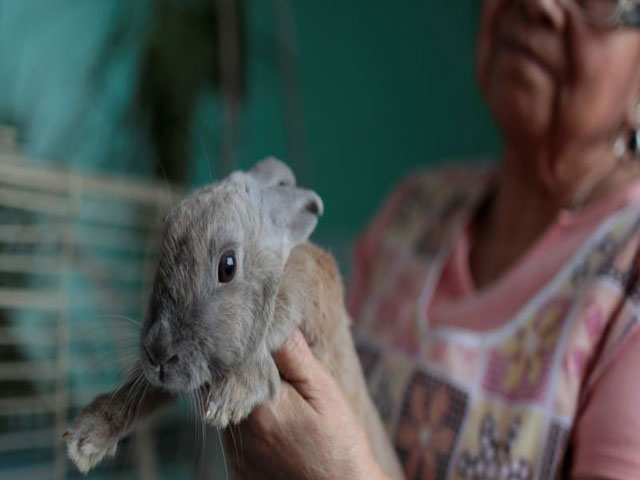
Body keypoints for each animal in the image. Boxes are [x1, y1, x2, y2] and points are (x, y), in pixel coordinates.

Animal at [65, 157, 404, 476]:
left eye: (227, 266)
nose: (158, 354)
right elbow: (148, 391)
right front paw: (85, 439)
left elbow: (285, 293)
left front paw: (233, 395)